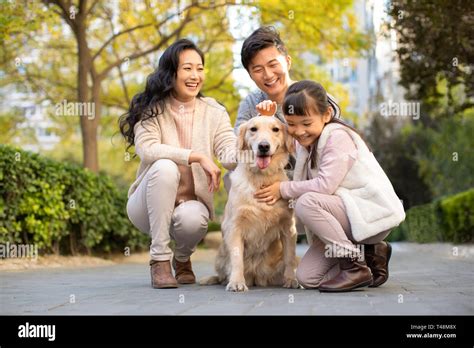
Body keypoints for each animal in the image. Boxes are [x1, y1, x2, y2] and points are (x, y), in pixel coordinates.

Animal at [199, 116, 296, 290]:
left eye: (275, 129)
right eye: (253, 129)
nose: (263, 146)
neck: (261, 177)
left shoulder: (288, 226)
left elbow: (289, 256)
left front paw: (291, 280)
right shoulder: (235, 226)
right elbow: (237, 259)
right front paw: (237, 282)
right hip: (220, 257)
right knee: (221, 275)